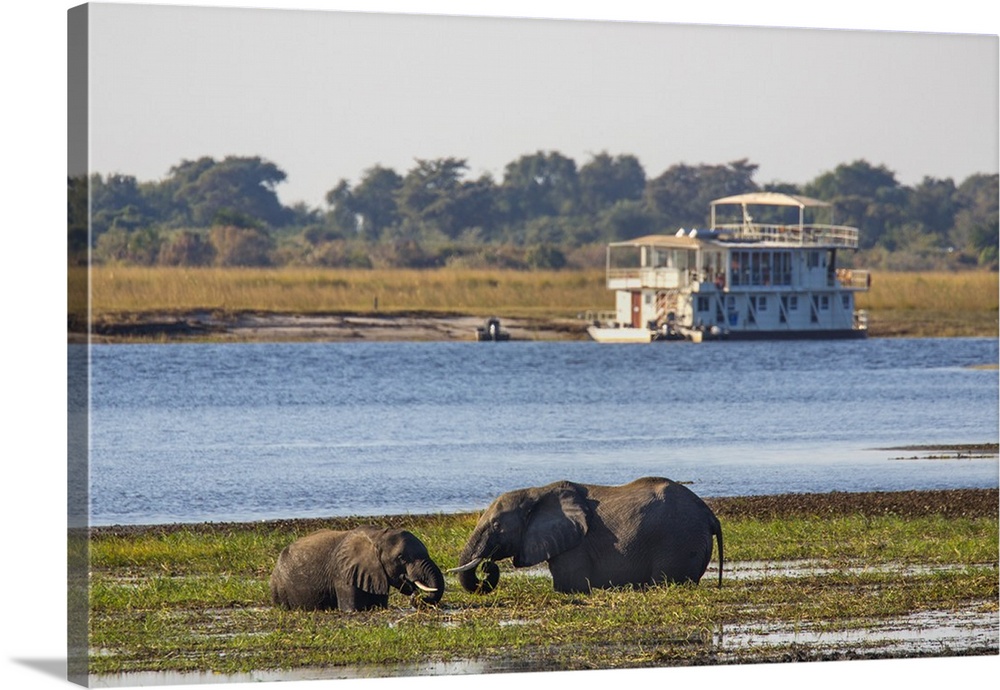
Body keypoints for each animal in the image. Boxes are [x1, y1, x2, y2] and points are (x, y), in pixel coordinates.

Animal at [452, 476, 720, 592]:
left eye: (497, 526)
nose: (487, 565)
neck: (536, 492)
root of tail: (709, 514)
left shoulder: (575, 547)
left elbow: (568, 585)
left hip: (679, 542)